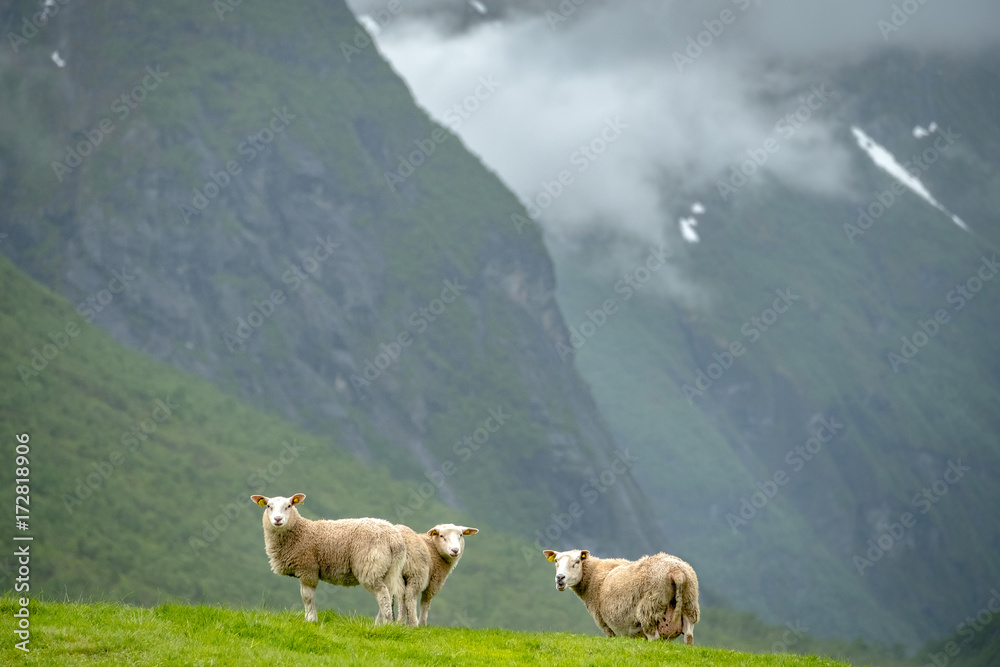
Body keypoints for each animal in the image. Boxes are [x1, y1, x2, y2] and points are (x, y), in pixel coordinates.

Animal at [250, 493, 405, 624]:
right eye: (268, 506)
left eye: (289, 506)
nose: (277, 519)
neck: (299, 532)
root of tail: (394, 538)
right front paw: (309, 618)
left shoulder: (307, 568)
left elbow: (307, 596)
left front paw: (311, 620)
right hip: (390, 569)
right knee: (388, 593)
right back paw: (380, 623)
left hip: (370, 566)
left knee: (382, 594)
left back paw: (384, 624)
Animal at [542, 549, 700, 644]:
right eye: (556, 561)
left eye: (577, 562)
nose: (560, 578)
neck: (592, 577)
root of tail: (676, 572)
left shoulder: (606, 626)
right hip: (689, 604)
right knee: (689, 636)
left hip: (650, 608)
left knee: (653, 638)